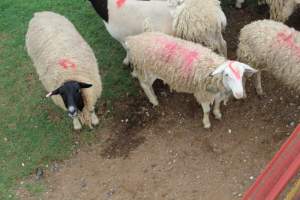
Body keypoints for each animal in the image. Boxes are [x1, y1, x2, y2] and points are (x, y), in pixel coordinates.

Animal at [125, 31, 258, 128]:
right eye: (226, 74)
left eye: (242, 74)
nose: (239, 94)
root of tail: (135, 39)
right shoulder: (202, 93)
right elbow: (206, 110)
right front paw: (206, 123)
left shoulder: (216, 92)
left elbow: (217, 103)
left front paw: (217, 113)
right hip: (148, 70)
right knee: (145, 85)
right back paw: (154, 100)